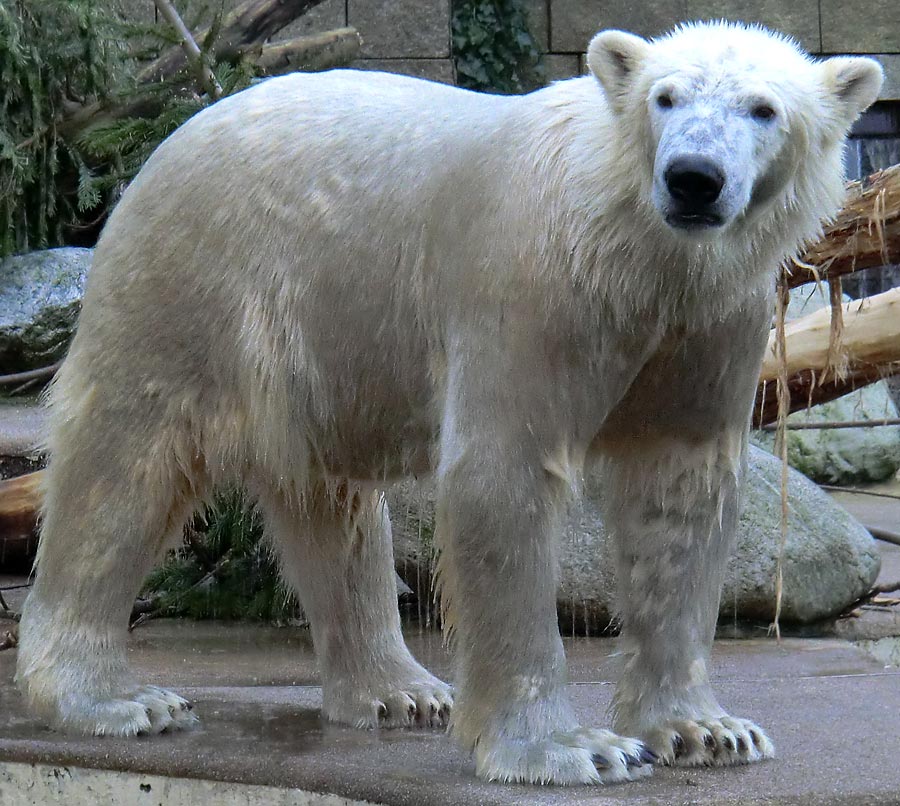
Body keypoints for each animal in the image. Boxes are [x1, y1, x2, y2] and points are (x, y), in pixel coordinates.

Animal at [17, 20, 884, 788]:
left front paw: (708, 731)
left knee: (331, 503)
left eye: (764, 108)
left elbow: (680, 490)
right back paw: (113, 699)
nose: (694, 178)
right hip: (191, 282)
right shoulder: (535, 283)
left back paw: (401, 692)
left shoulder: (712, 317)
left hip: (321, 340)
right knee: (126, 466)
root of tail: (170, 140)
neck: (634, 247)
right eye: (665, 97)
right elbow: (503, 474)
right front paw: (572, 750)